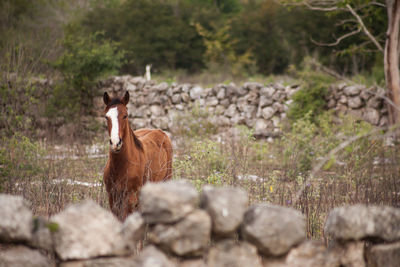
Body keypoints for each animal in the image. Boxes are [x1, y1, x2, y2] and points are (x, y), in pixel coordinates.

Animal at [103, 91, 172, 221]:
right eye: (106, 117)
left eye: (125, 115)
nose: (115, 143)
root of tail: (160, 131)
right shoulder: (112, 198)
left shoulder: (130, 198)